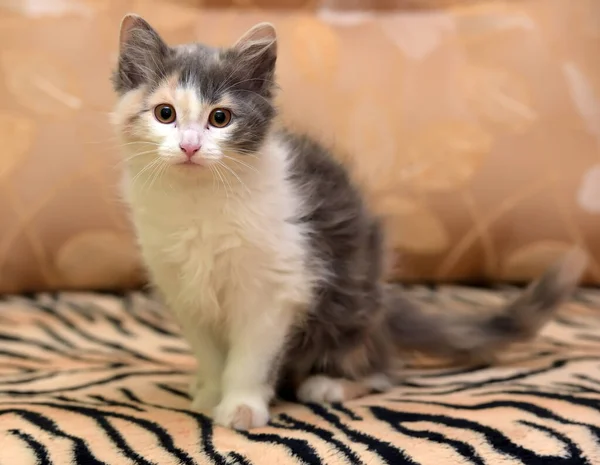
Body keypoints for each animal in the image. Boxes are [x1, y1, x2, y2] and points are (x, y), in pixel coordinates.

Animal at [111, 14, 584, 428]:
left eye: (220, 118)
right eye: (166, 114)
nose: (190, 147)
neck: (198, 201)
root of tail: (381, 302)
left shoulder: (275, 286)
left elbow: (251, 357)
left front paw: (241, 405)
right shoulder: (181, 286)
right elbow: (210, 352)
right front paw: (210, 391)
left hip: (347, 302)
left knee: (383, 370)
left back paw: (330, 385)